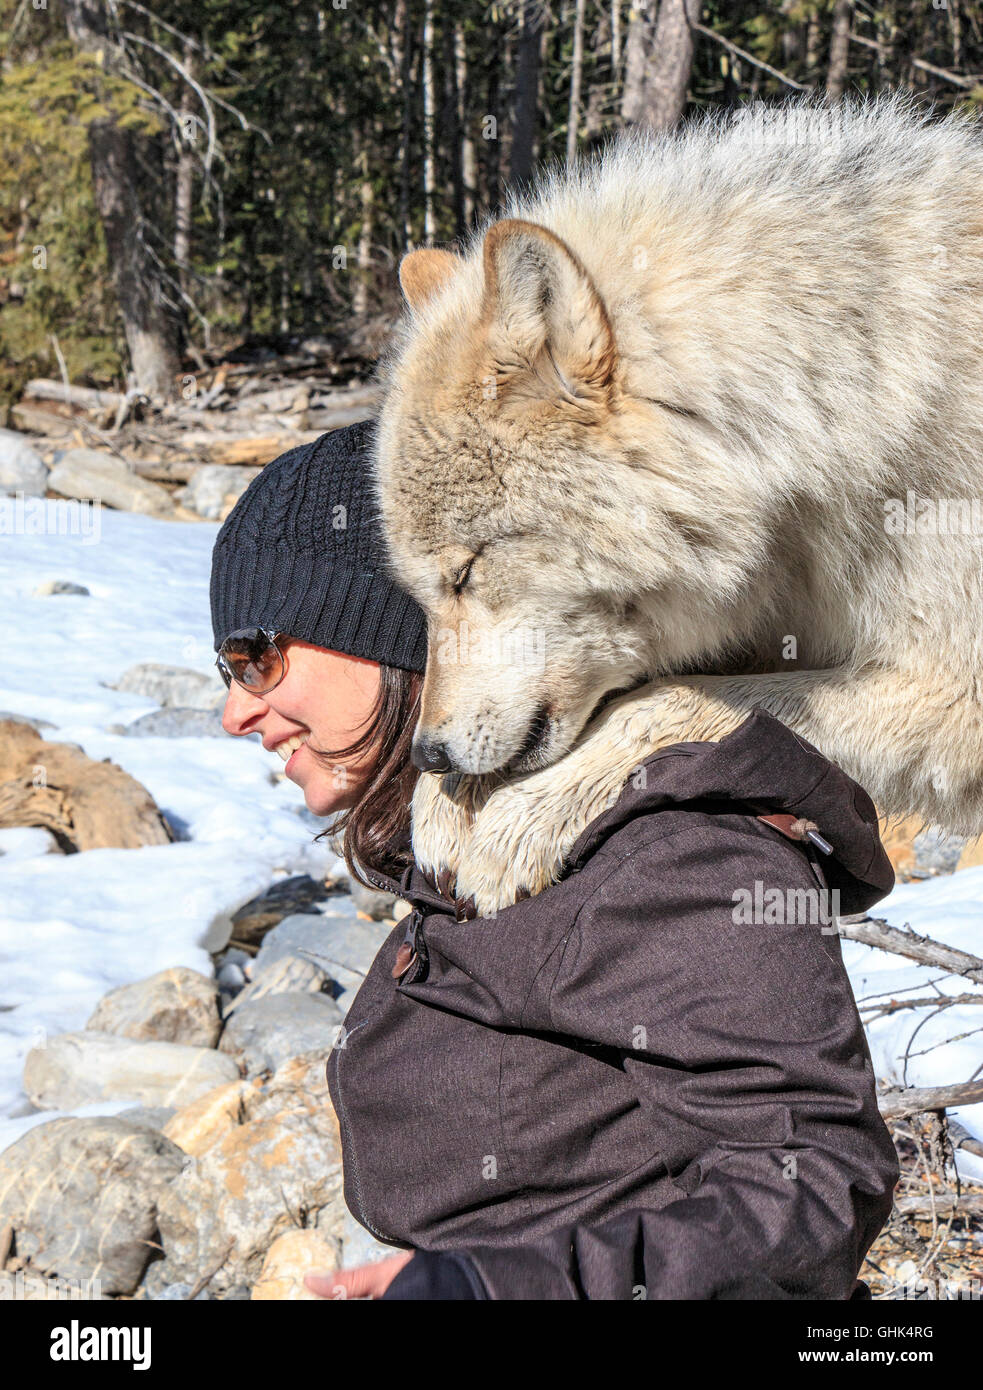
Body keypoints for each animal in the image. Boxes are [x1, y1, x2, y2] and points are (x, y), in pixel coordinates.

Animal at [372, 95, 983, 914]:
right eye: (422, 592)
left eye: (465, 573)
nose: (429, 753)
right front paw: (446, 803)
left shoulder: (955, 694)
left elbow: (677, 701)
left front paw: (519, 817)